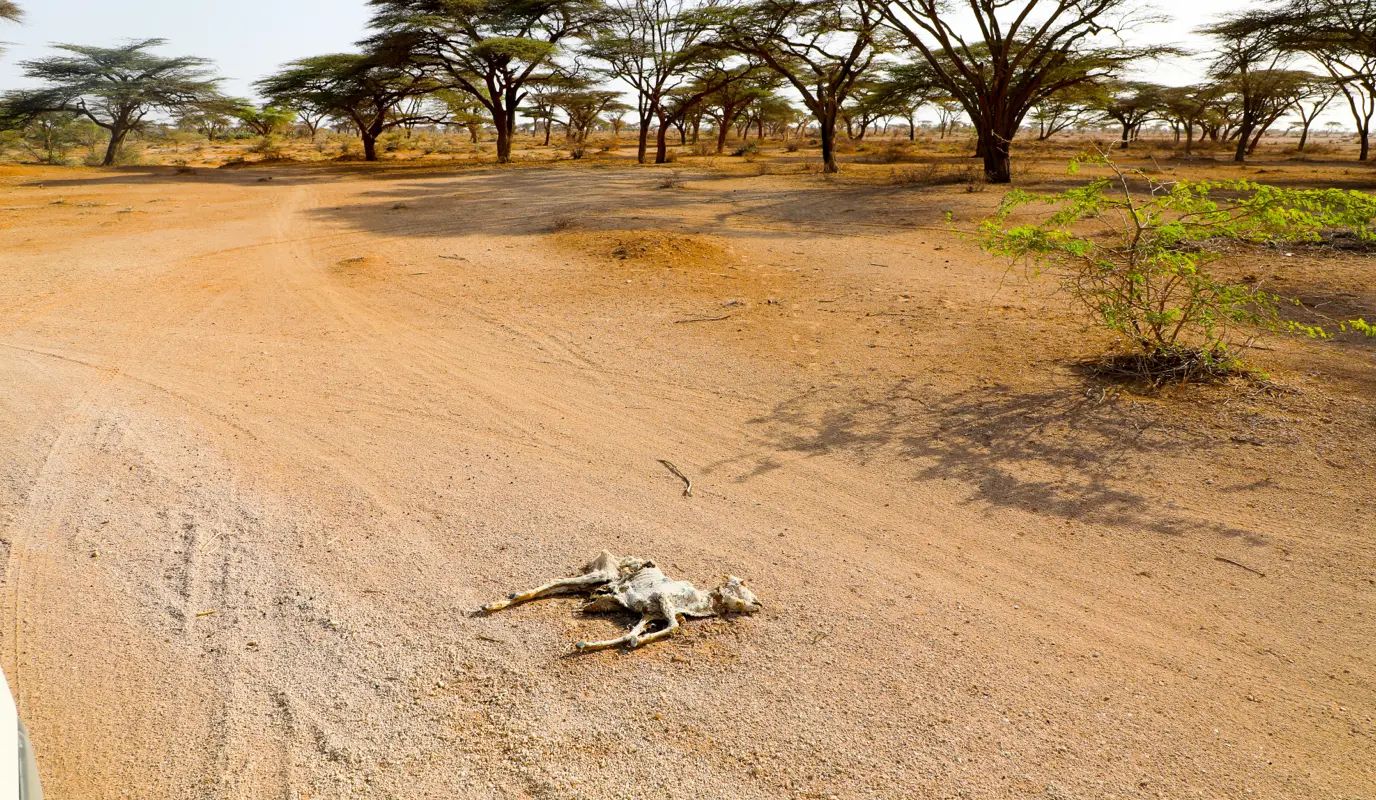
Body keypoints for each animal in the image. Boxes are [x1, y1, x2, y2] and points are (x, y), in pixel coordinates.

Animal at [478, 550, 761, 651]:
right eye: (742, 584)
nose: (758, 604)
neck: (702, 601)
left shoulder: (651, 613)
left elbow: (634, 632)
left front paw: (589, 645)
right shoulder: (664, 597)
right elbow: (673, 626)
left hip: (595, 582)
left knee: (561, 586)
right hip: (603, 573)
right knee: (557, 580)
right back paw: (497, 603)